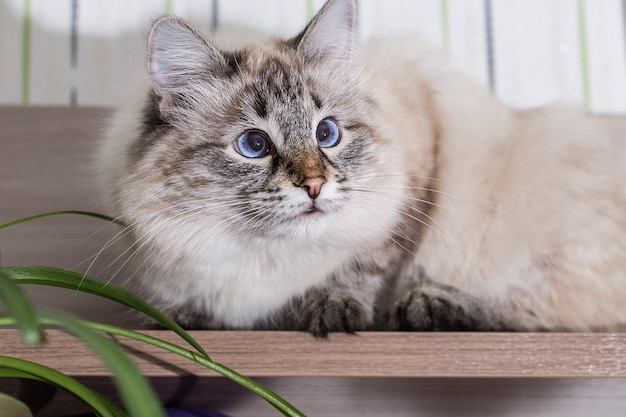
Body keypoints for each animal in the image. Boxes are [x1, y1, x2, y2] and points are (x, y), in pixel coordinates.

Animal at [98, 0, 624, 334]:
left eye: (327, 134)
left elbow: (364, 267)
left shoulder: (418, 175)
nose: (314, 185)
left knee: (540, 317)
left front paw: (332, 309)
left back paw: (430, 308)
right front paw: (183, 321)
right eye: (253, 144)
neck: (264, 261)